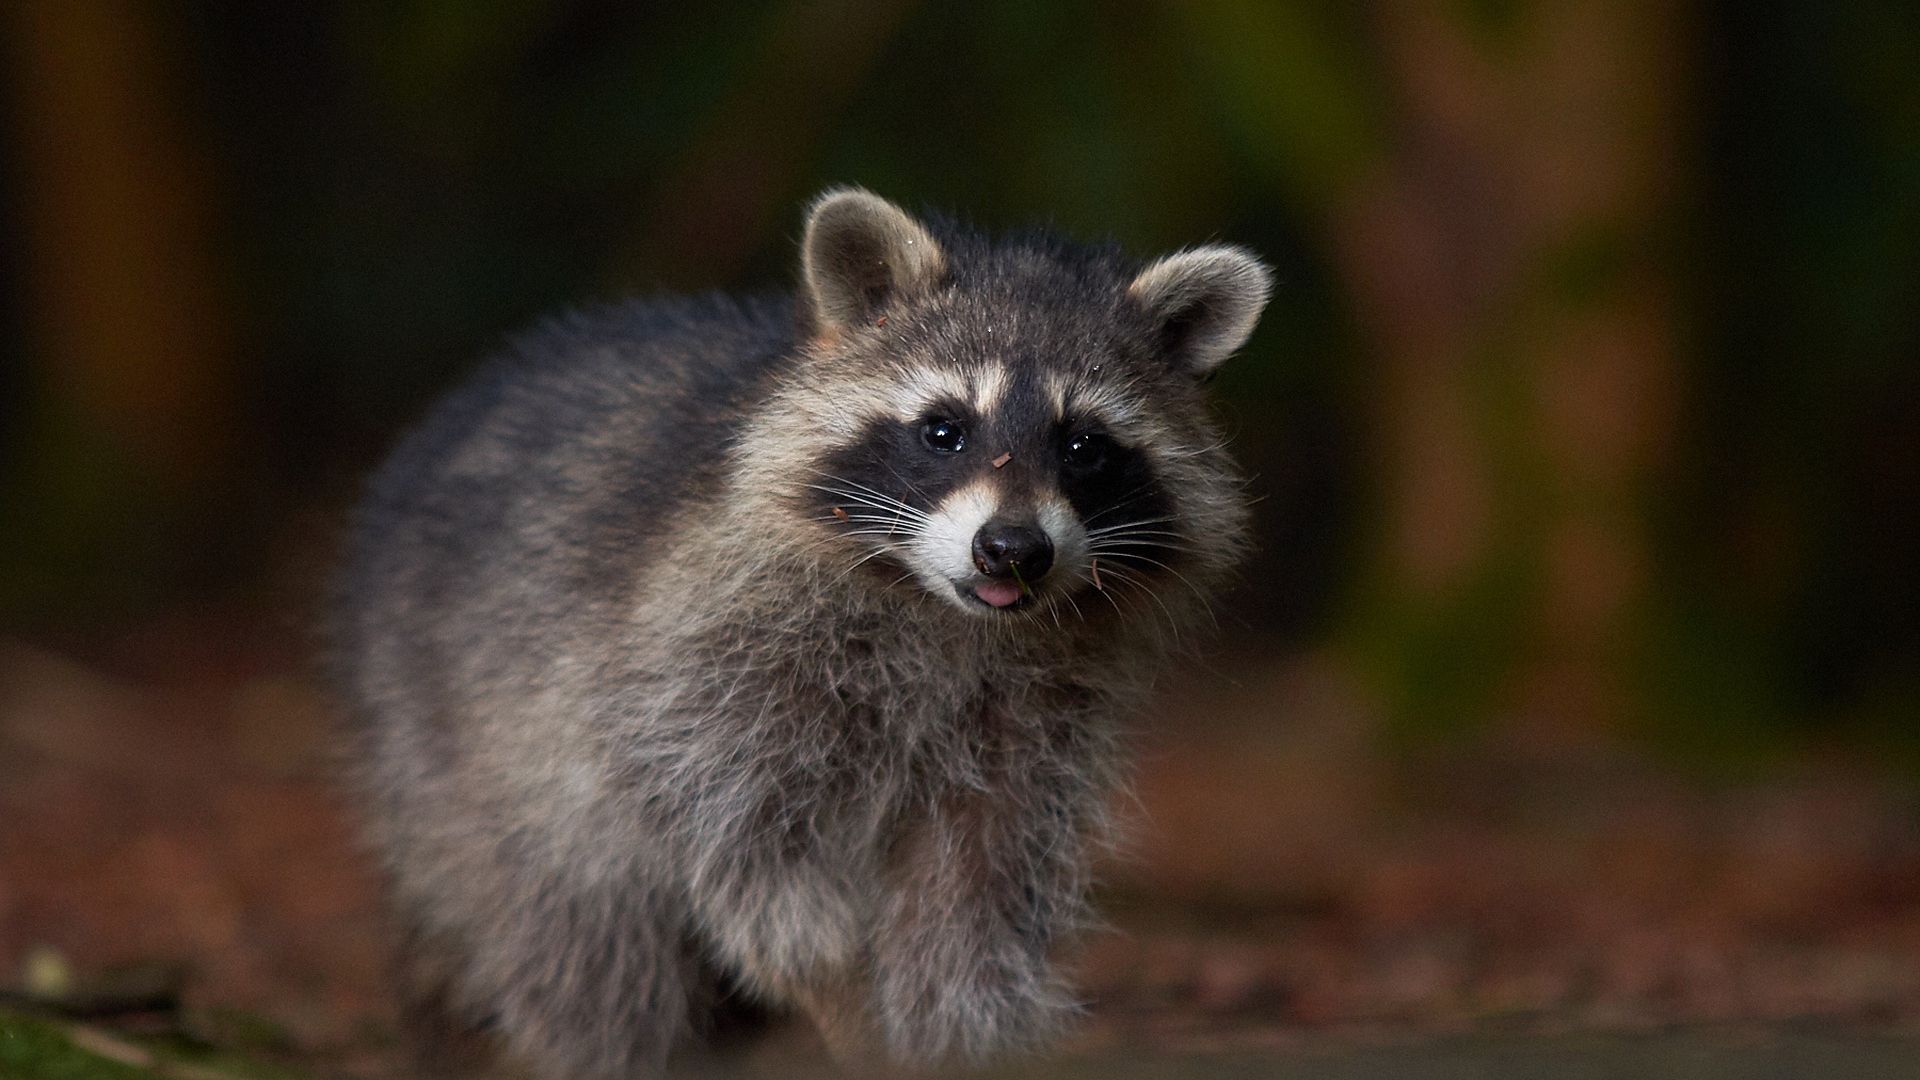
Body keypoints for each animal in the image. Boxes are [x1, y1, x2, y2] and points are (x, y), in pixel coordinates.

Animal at [330, 189, 1267, 1068]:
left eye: (1084, 448)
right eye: (944, 431)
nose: (1012, 550)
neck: (946, 615)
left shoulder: (1035, 726)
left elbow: (981, 894)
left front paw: (957, 1036)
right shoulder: (702, 656)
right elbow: (748, 851)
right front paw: (842, 1000)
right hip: (473, 754)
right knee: (585, 944)